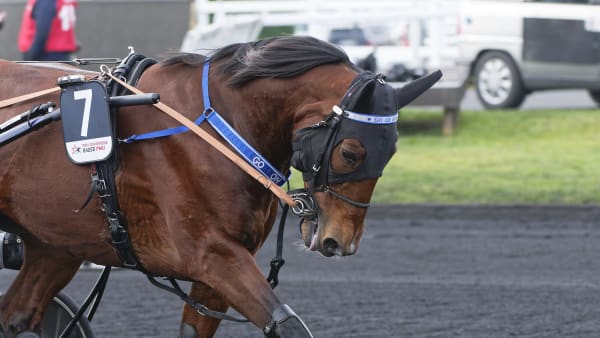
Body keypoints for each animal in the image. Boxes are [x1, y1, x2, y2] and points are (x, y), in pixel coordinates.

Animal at [0, 35, 440, 336]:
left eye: (392, 150)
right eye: (351, 152)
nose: (341, 241)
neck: (219, 127)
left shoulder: (215, 275)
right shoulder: (213, 255)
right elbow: (287, 323)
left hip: (55, 246)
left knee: (16, 313)